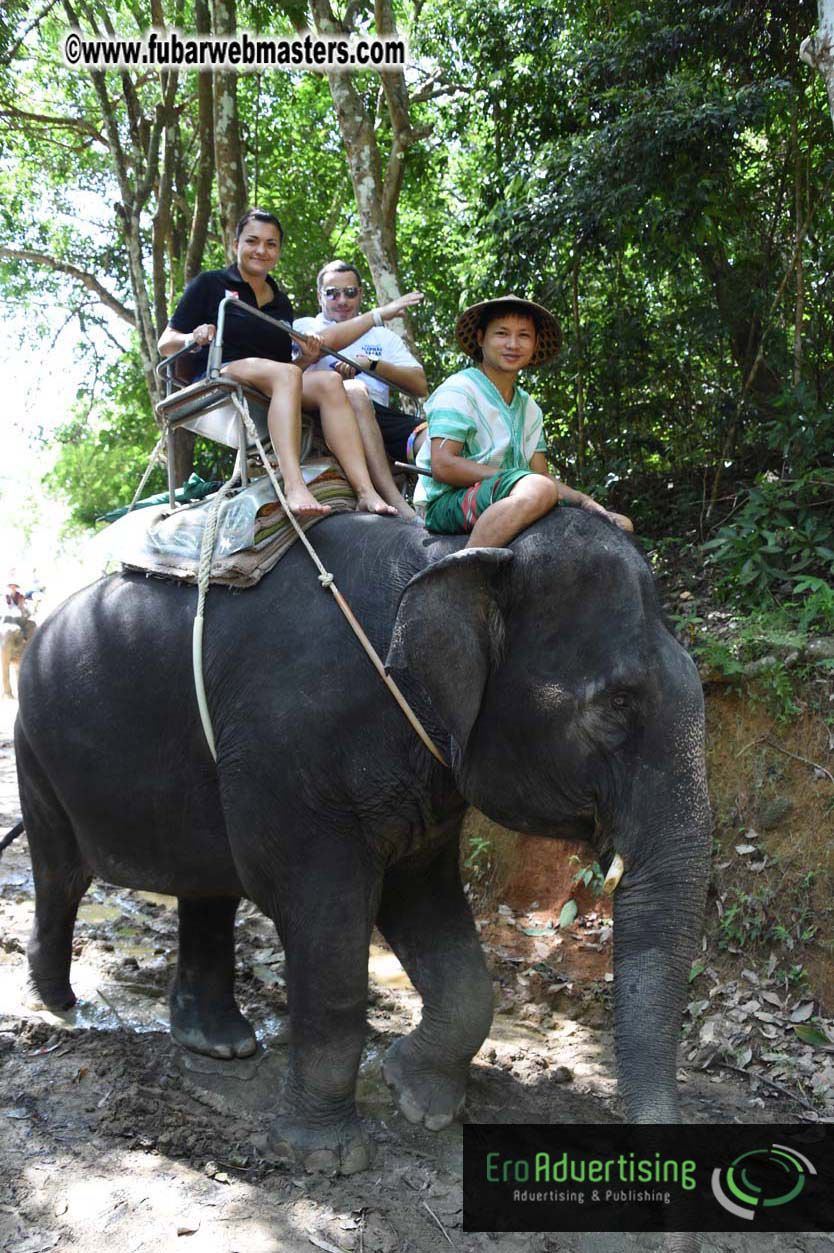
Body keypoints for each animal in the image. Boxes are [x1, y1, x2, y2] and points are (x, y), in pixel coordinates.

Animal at [14, 505, 711, 1176]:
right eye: (618, 704)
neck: (448, 552)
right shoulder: (291, 761)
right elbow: (323, 930)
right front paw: (324, 1158)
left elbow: (427, 911)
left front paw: (419, 1101)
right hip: (34, 750)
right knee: (61, 875)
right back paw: (58, 1004)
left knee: (205, 885)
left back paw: (218, 1044)